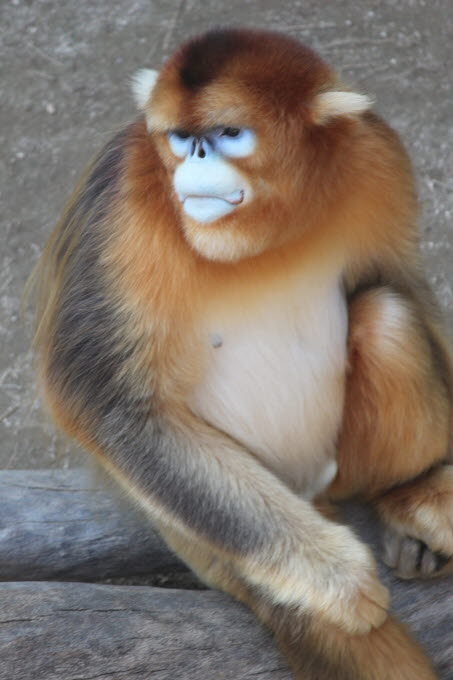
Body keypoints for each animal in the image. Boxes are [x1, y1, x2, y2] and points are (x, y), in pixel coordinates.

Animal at [31, 28, 453, 679]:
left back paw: (407, 494)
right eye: (182, 138)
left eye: (228, 133)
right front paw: (336, 578)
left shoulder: (375, 153)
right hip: (204, 542)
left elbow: (404, 282)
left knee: (388, 314)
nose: (197, 159)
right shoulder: (119, 190)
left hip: (339, 471)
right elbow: (107, 406)